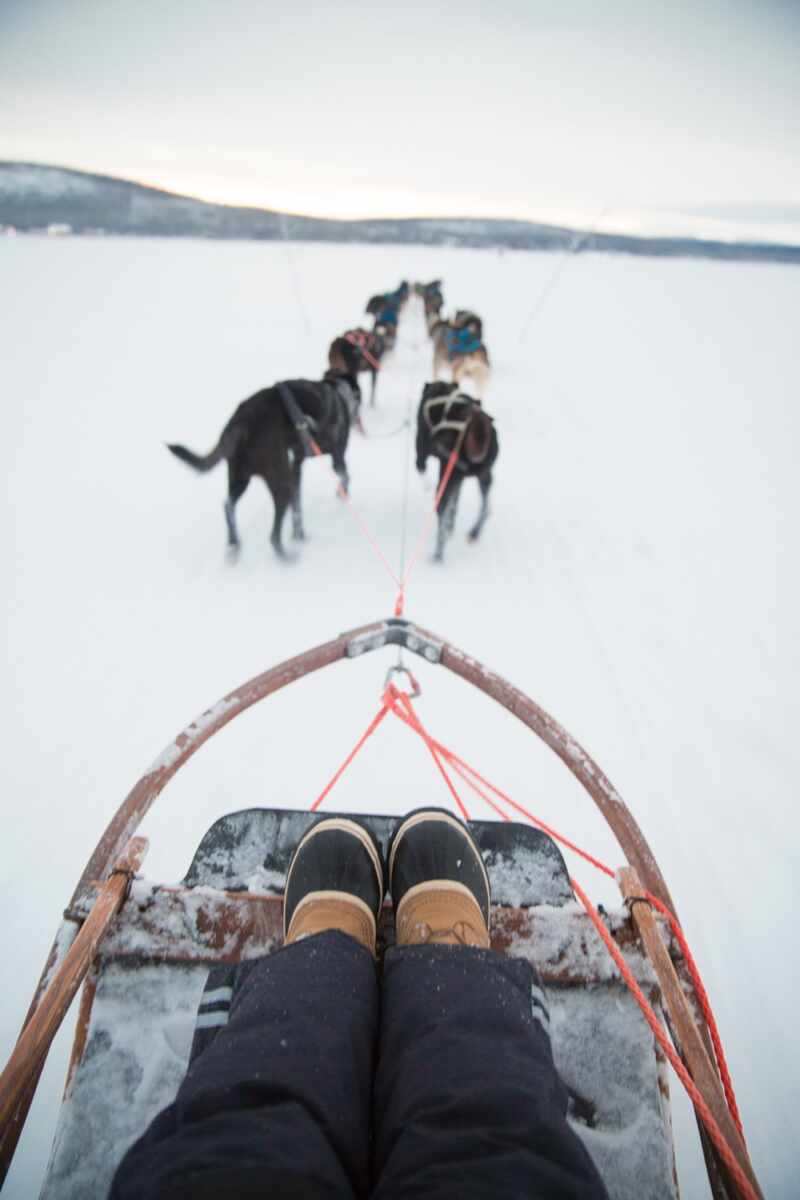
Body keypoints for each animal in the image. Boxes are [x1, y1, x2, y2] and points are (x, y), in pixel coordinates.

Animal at [170, 369, 362, 556]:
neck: (337, 391)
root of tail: (239, 422)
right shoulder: (336, 458)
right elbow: (346, 476)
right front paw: (342, 492)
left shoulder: (296, 466)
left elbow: (297, 508)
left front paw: (299, 534)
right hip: (280, 481)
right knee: (273, 536)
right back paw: (287, 556)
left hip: (241, 476)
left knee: (228, 505)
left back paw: (234, 544)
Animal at [417, 379, 496, 561]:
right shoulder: (456, 479)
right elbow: (455, 502)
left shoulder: (421, 452)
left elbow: (421, 469)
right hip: (483, 476)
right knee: (486, 507)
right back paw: (474, 532)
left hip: (446, 478)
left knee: (441, 512)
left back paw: (438, 554)